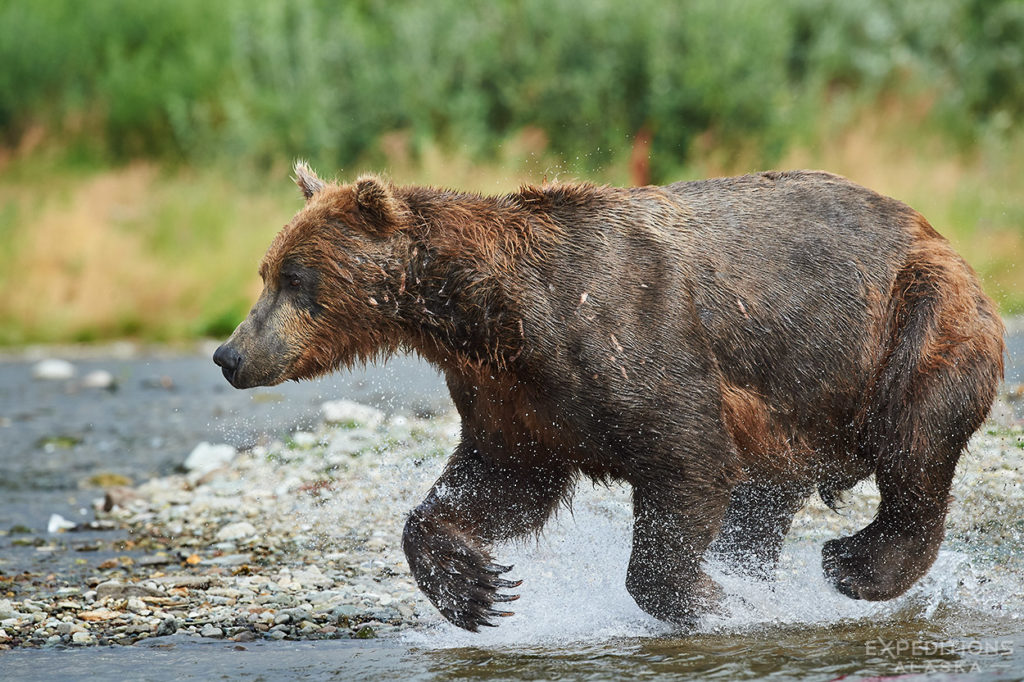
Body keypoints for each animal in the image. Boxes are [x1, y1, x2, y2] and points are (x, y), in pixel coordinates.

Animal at [211, 161, 1003, 630]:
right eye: (265, 271)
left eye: (295, 277)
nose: (229, 354)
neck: (489, 317)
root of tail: (942, 236)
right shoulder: (514, 398)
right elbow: (501, 482)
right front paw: (477, 588)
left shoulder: (632, 338)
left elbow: (687, 459)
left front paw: (705, 598)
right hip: (798, 414)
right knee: (766, 501)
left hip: (913, 326)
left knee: (914, 453)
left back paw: (855, 566)